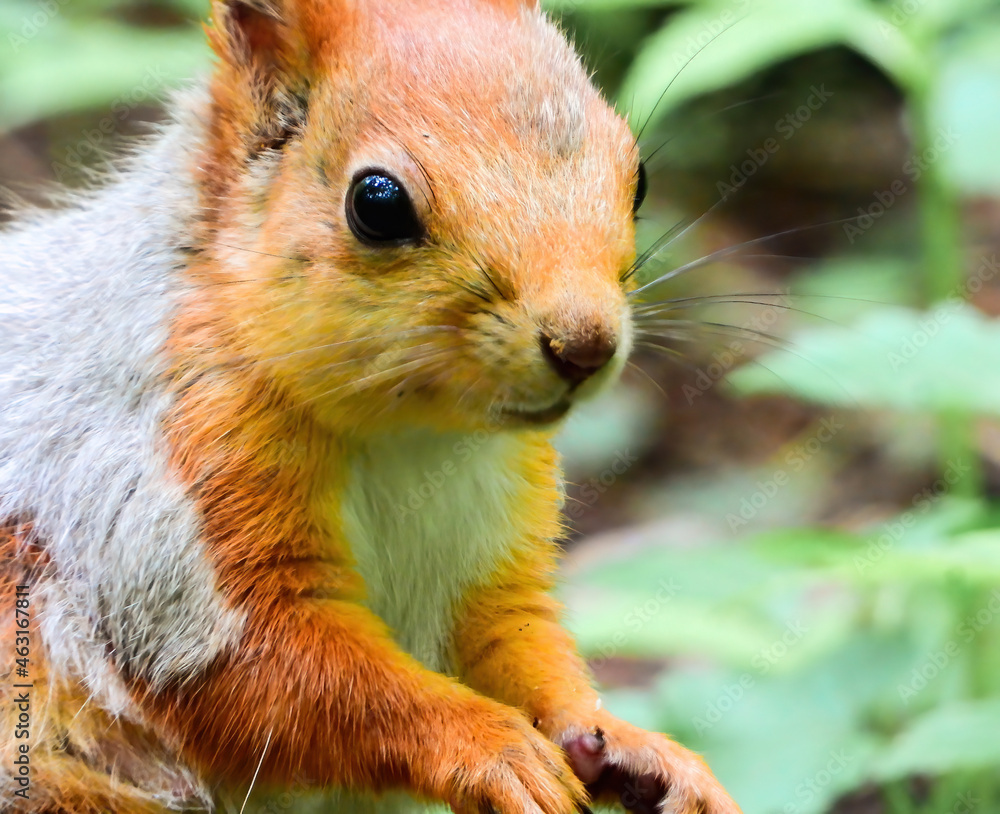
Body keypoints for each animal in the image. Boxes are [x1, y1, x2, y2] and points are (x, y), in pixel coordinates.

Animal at [0, 0, 742, 812]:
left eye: (638, 177)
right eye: (376, 203)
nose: (585, 345)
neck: (415, 436)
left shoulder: (495, 555)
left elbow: (515, 640)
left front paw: (631, 747)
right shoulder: (155, 498)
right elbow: (279, 673)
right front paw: (493, 748)